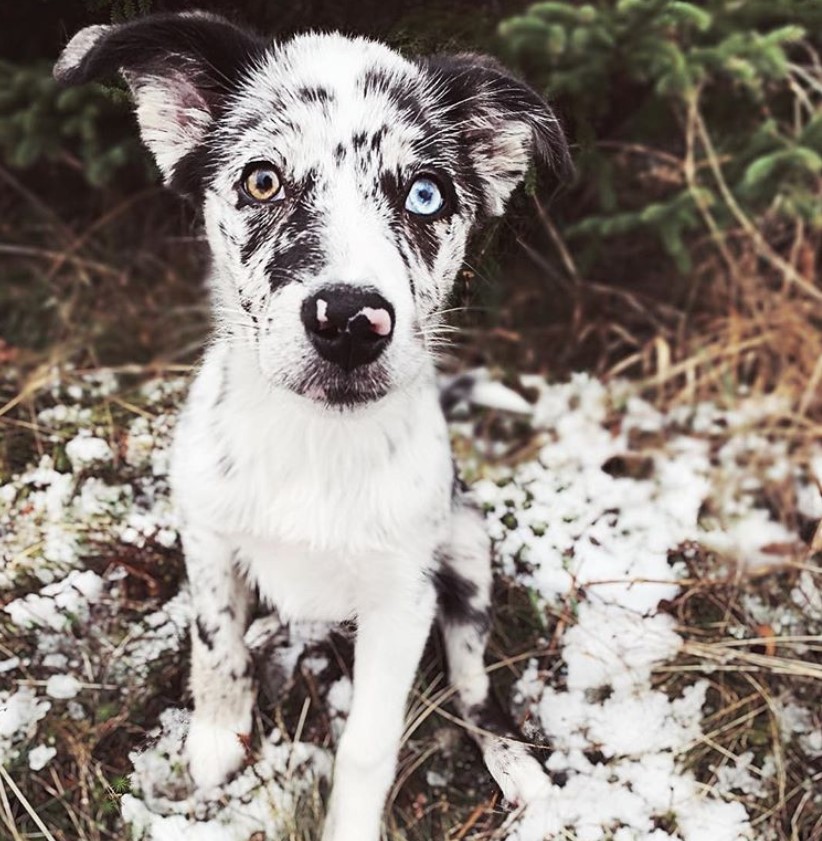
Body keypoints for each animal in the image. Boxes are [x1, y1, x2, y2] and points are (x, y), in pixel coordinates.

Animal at [53, 14, 572, 840]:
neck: (314, 442)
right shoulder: (206, 535)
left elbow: (369, 742)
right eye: (262, 180)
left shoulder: (402, 599)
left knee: (471, 682)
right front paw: (216, 740)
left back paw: (513, 760)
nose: (351, 321)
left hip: (467, 551)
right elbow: (216, 643)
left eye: (426, 193)